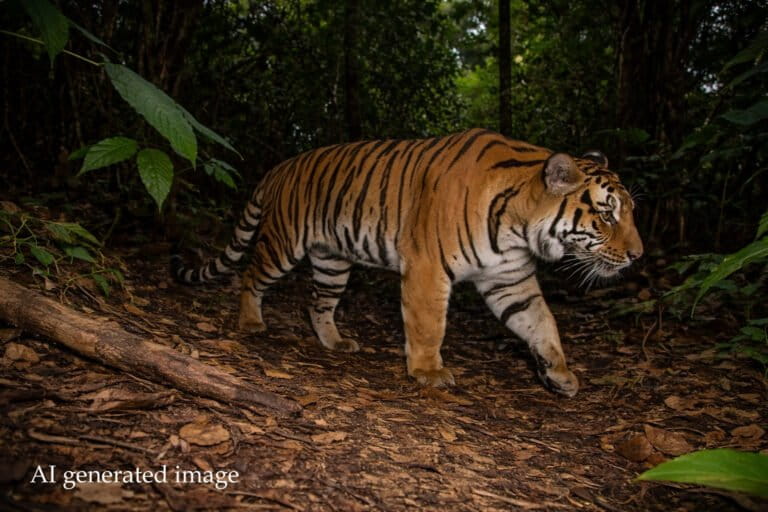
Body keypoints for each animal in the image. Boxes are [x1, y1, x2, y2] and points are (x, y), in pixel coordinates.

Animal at [172, 128, 643, 397]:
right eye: (608, 215)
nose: (638, 255)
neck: (518, 225)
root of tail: (282, 165)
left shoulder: (509, 279)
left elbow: (543, 323)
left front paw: (560, 375)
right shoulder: (427, 268)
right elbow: (429, 324)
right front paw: (428, 372)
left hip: (332, 260)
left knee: (317, 303)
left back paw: (335, 342)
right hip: (283, 244)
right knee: (251, 275)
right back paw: (251, 322)